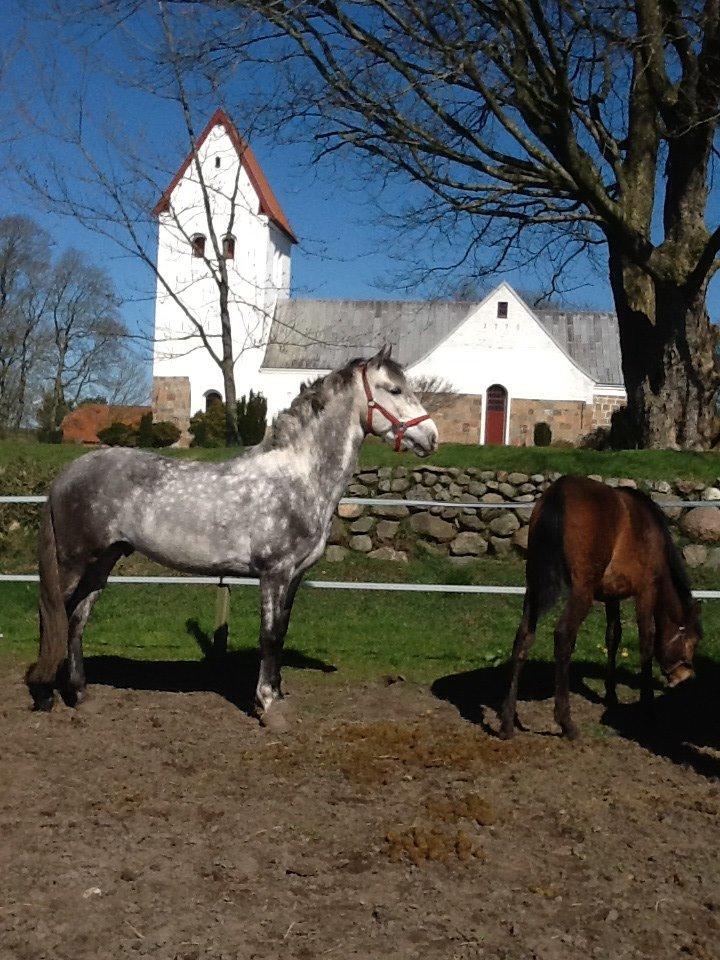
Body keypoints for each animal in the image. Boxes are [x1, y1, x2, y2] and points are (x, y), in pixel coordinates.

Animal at [26, 348, 438, 716]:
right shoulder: (274, 574)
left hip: (103, 562)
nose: (432, 437)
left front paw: (278, 695)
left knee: (76, 621)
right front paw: (265, 704)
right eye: (394, 389)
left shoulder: (294, 577)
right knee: (53, 617)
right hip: (73, 564)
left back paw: (80, 694)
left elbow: (281, 631)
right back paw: (44, 695)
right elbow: (268, 635)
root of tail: (68, 473)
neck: (299, 477)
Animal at [504, 476, 700, 740]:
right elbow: (646, 640)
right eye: (692, 640)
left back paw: (506, 721)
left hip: (534, 588)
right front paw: (647, 705)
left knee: (523, 637)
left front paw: (611, 694)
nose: (685, 676)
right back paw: (566, 722)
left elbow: (613, 636)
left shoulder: (611, 595)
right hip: (581, 591)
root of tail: (559, 491)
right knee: (563, 636)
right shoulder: (646, 590)